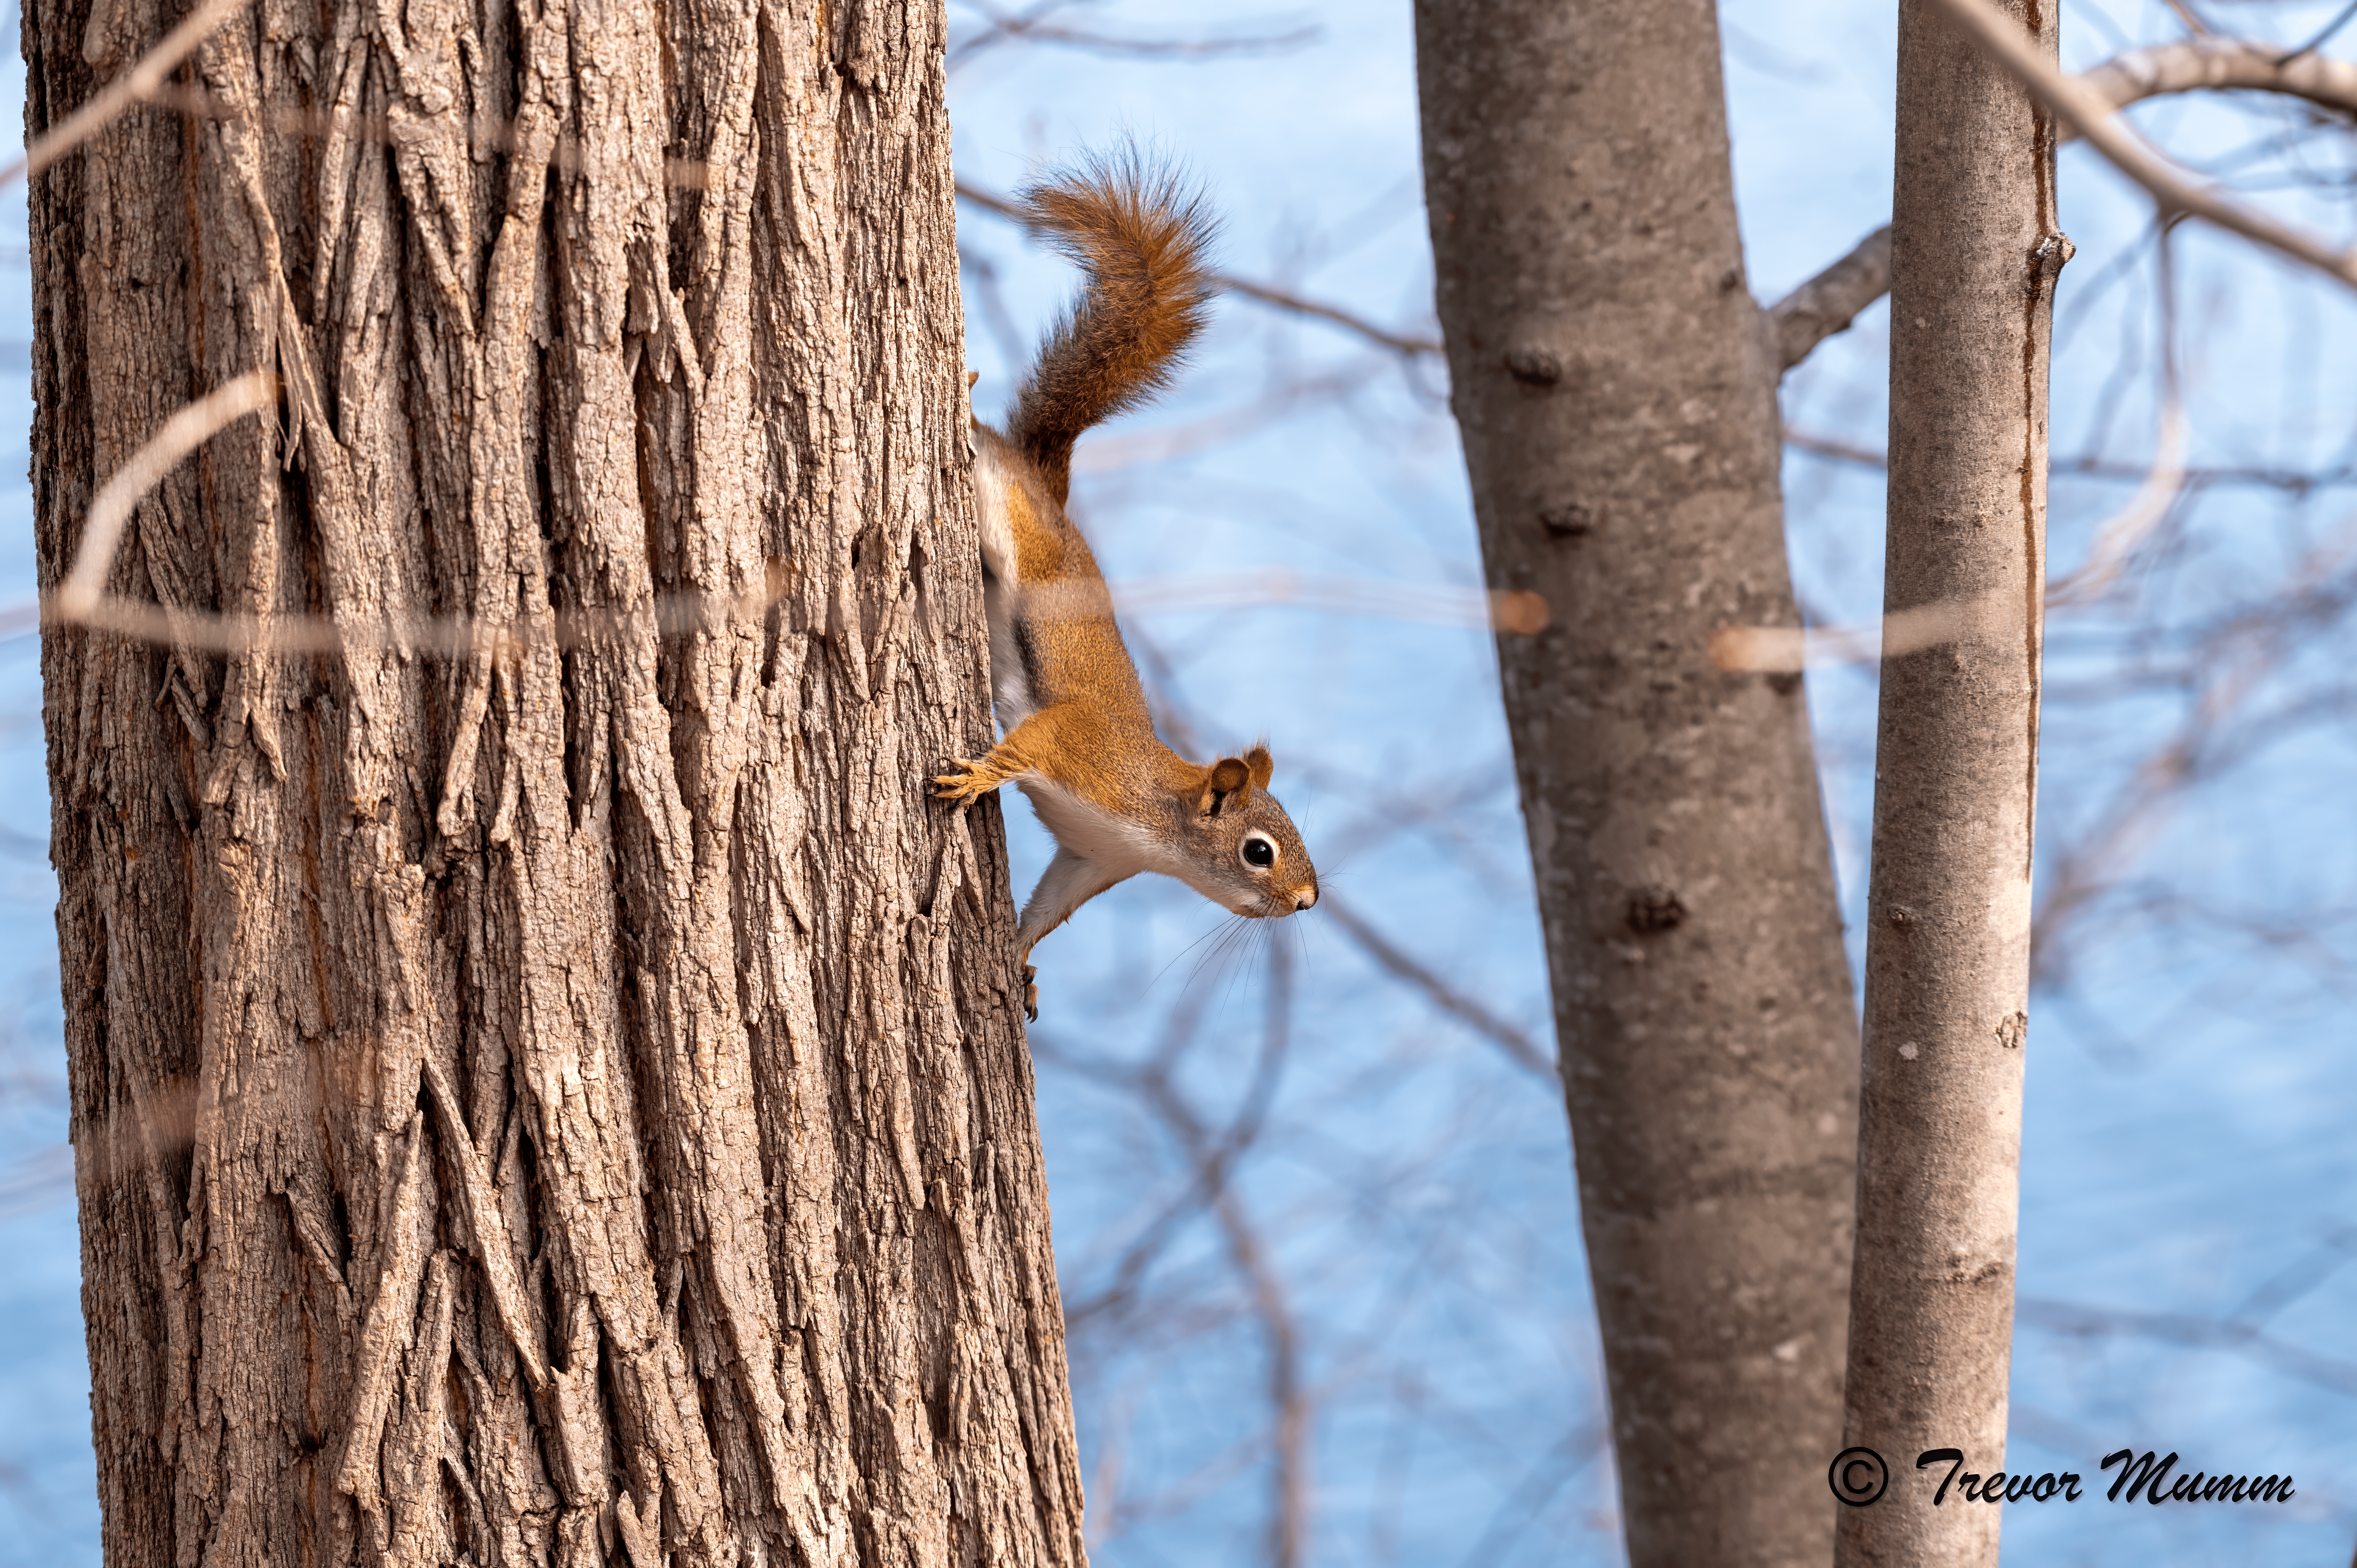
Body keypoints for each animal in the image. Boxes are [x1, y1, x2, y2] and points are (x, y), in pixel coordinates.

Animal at [933, 154, 1320, 1021]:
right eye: (1259, 851)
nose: (1308, 899)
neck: (1160, 825)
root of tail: (1049, 490)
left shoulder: (1091, 858)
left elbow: (1049, 906)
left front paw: (1020, 960)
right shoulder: (1085, 752)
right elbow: (1031, 741)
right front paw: (978, 776)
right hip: (1018, 532)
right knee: (992, 469)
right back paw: (966, 401)